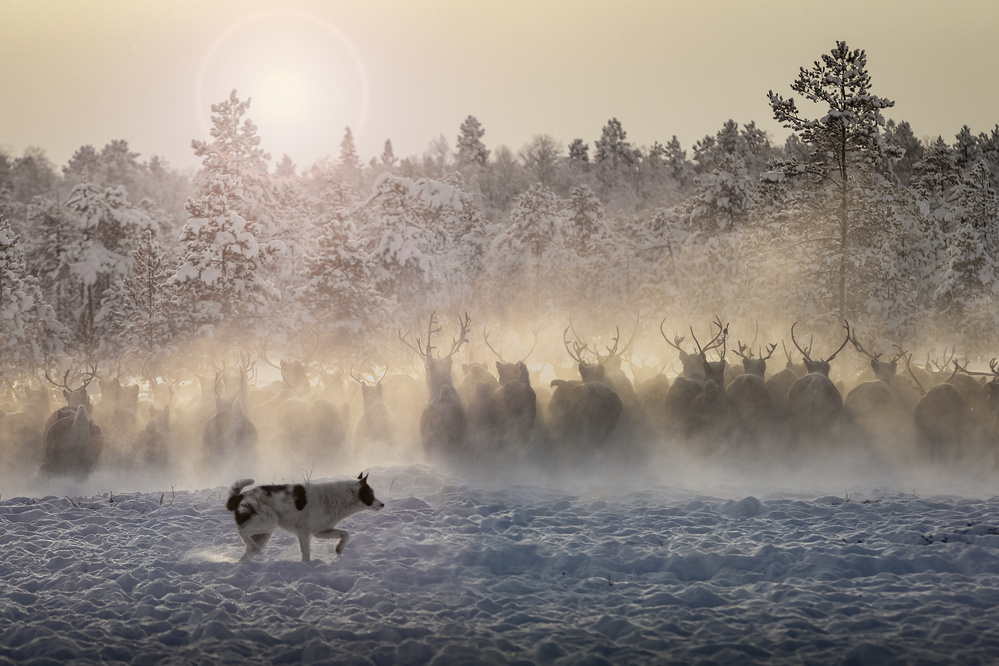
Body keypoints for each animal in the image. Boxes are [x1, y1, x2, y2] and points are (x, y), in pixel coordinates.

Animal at [225, 472, 384, 560]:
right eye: (371, 495)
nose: (382, 504)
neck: (337, 498)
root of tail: (240, 496)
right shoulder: (304, 532)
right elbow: (306, 553)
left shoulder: (320, 531)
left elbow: (345, 534)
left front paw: (339, 549)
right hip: (268, 523)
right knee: (243, 532)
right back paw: (255, 549)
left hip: (264, 534)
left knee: (246, 553)